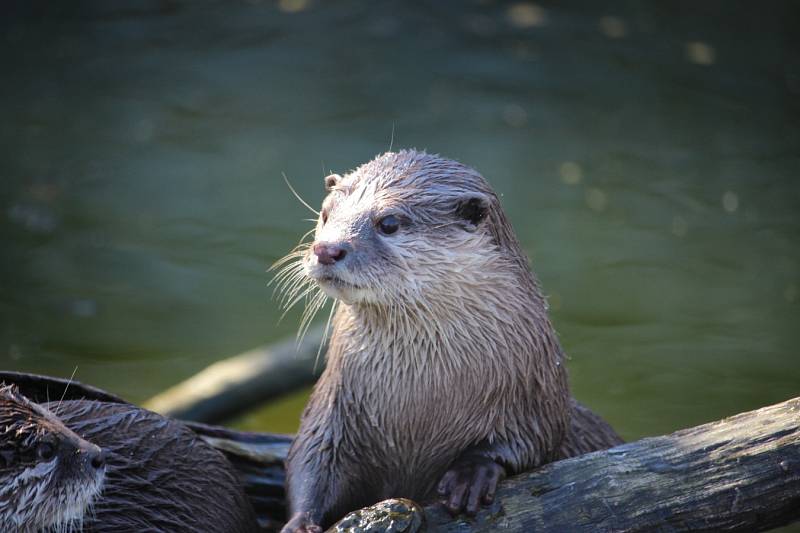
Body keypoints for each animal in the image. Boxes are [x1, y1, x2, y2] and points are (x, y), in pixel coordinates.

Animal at [280, 151, 624, 532]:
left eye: (389, 223)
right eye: (326, 214)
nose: (326, 249)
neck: (418, 398)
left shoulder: (535, 395)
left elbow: (534, 439)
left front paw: (470, 476)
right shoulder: (332, 406)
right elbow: (309, 459)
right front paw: (300, 522)